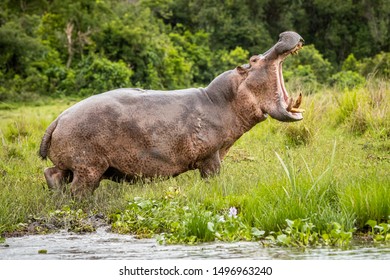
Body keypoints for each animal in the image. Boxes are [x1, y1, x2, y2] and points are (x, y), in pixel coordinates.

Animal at [41, 31, 306, 197]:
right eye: (253, 59)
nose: (282, 36)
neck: (224, 99)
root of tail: (57, 119)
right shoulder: (210, 158)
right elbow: (213, 178)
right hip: (88, 167)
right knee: (78, 190)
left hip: (72, 165)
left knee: (52, 174)